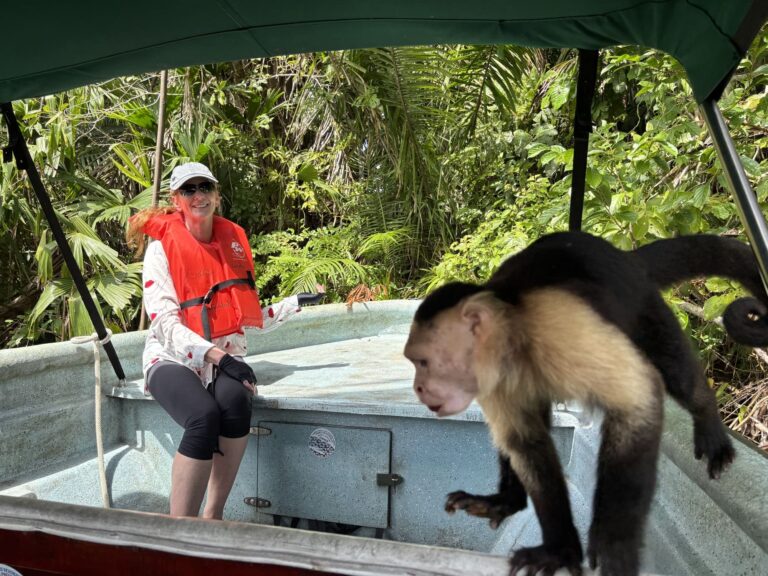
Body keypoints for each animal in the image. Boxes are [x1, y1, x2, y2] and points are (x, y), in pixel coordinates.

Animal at [403, 231, 768, 576]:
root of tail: (624, 256)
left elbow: (638, 399)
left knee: (675, 368)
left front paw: (613, 545)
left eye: (423, 362)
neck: (516, 344)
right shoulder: (492, 379)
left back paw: (708, 421)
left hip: (644, 303)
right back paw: (506, 501)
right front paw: (559, 549)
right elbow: (528, 444)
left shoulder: (558, 328)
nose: (418, 387)